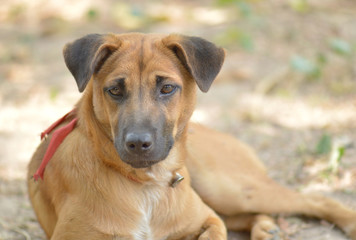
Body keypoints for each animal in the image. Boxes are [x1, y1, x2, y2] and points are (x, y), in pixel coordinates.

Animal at [27, 32, 356, 240]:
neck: (146, 185)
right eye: (115, 90)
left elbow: (214, 231)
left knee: (316, 200)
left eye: (167, 88)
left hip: (230, 189)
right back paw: (265, 229)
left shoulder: (209, 220)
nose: (138, 144)